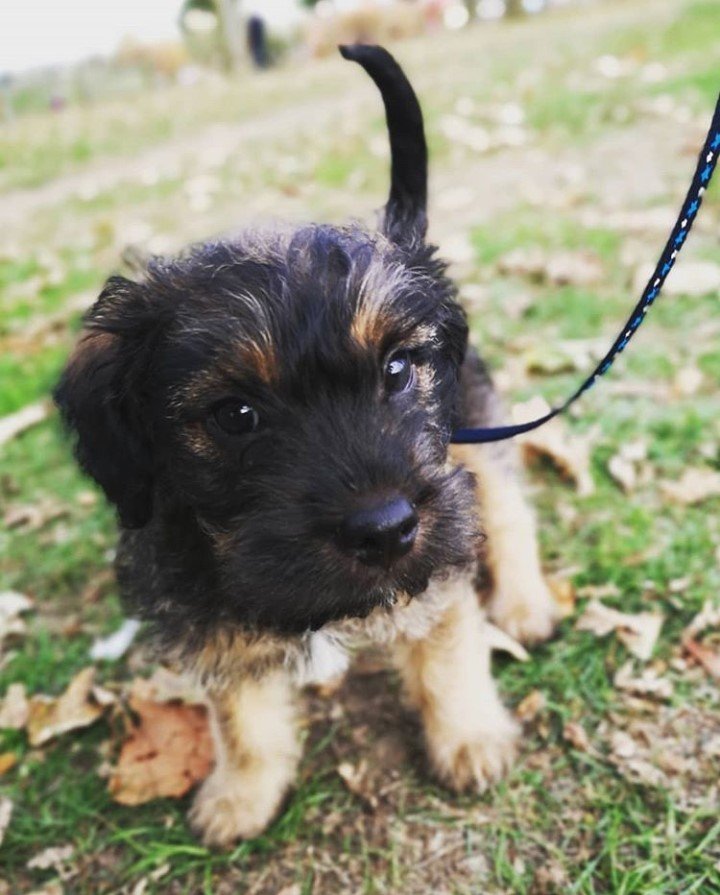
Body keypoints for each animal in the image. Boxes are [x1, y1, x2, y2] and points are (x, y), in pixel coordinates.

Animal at [56, 47, 556, 848]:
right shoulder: (209, 620)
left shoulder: (438, 560)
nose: (385, 529)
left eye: (396, 369)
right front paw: (241, 795)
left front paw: (469, 739)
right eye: (236, 415)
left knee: (507, 510)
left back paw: (524, 602)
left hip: (471, 430)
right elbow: (242, 719)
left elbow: (449, 657)